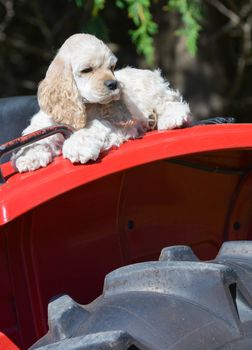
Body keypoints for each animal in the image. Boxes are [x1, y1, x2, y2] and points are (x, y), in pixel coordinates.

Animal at [11, 33, 190, 173]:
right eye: (87, 70)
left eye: (112, 67)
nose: (114, 84)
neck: (84, 105)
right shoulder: (48, 120)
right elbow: (37, 134)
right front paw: (27, 156)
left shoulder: (112, 123)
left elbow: (93, 127)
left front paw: (77, 146)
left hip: (153, 92)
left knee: (172, 102)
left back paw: (172, 118)